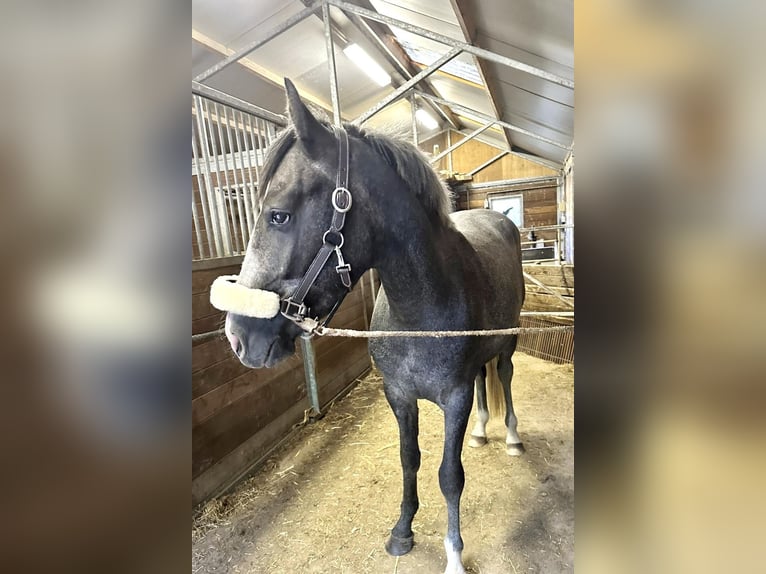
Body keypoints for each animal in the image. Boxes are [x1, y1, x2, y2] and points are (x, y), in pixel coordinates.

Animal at [218, 79, 525, 574]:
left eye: (278, 214)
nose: (239, 336)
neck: (416, 315)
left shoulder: (454, 399)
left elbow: (450, 475)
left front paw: (454, 554)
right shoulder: (398, 395)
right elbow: (408, 459)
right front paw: (402, 531)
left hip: (510, 341)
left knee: (504, 375)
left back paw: (513, 437)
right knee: (485, 378)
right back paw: (482, 431)